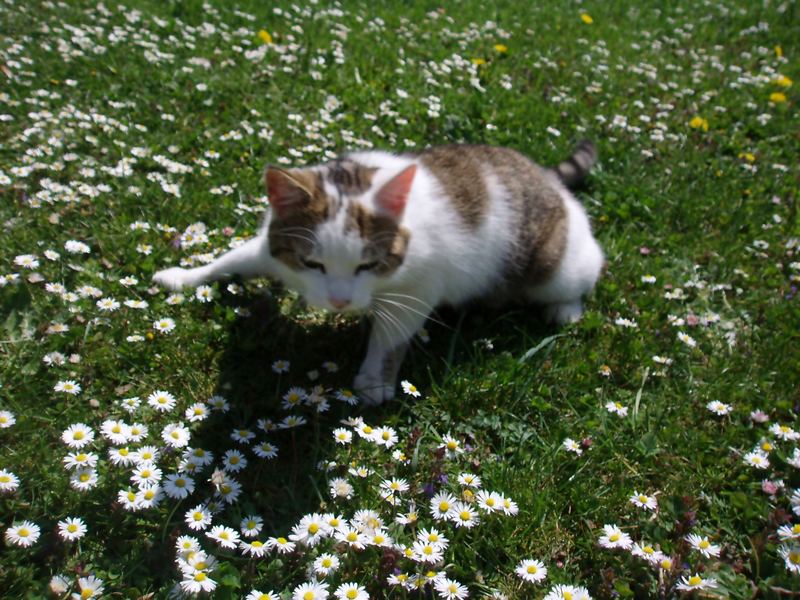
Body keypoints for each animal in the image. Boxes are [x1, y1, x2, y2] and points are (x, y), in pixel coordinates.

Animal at [153, 142, 604, 404]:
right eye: (312, 264)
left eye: (367, 265)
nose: (339, 301)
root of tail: (545, 177)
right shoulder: (272, 246)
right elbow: (232, 259)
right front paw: (183, 276)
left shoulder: (417, 289)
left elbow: (389, 339)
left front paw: (375, 380)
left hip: (555, 266)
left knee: (584, 272)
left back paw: (566, 309)